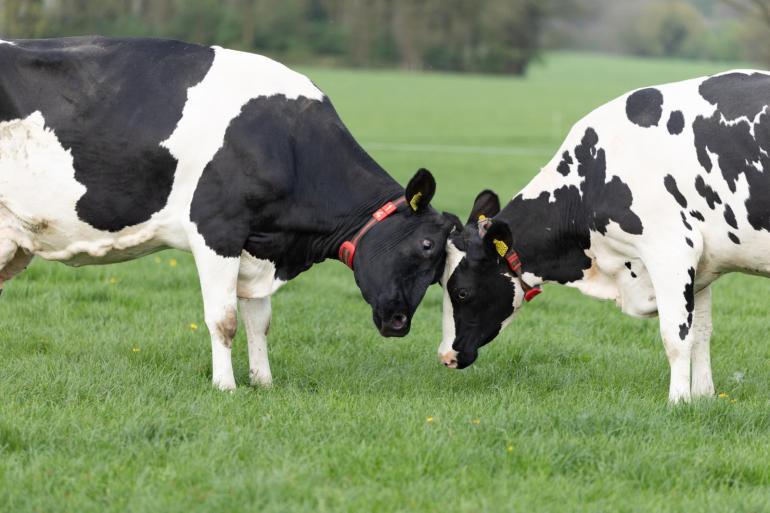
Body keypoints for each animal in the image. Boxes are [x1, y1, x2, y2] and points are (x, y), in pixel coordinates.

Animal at [0, 36, 452, 388]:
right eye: (426, 245)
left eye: (441, 272)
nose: (400, 323)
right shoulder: (217, 229)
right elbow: (224, 319)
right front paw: (225, 385)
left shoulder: (260, 245)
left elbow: (260, 320)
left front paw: (263, 382)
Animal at [436, 69, 768, 404]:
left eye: (462, 292)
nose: (445, 356)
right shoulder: (701, 263)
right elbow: (701, 331)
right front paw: (703, 396)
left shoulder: (671, 250)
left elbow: (675, 336)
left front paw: (678, 401)